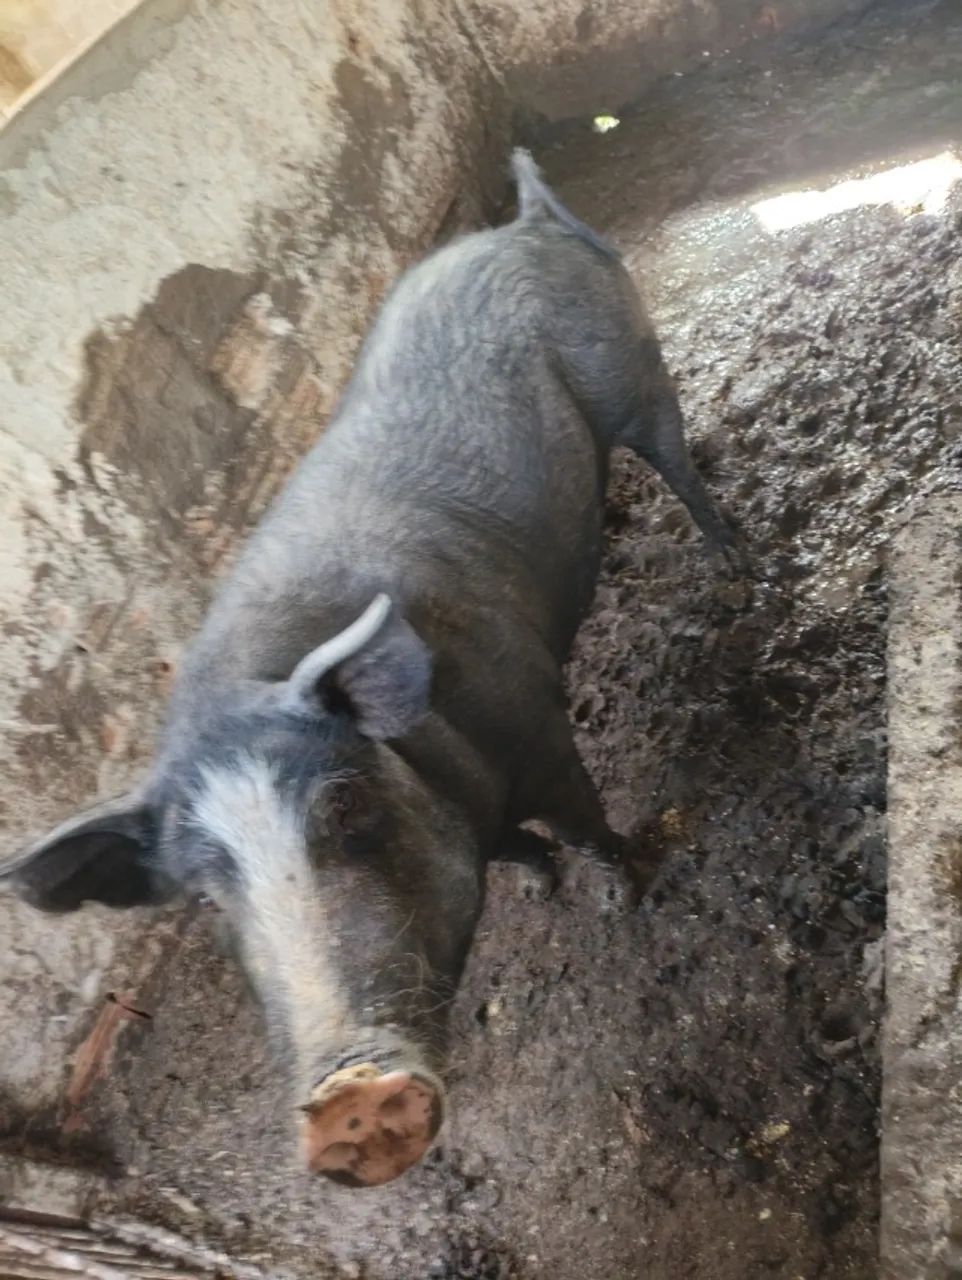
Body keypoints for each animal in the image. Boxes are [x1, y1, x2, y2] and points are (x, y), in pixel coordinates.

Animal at [1, 150, 741, 1187]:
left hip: (633, 369)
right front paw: (540, 888)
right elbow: (517, 850)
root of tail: (522, 225)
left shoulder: (540, 727)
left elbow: (587, 822)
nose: (343, 1095)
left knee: (676, 456)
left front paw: (618, 896)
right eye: (208, 893)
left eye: (344, 807)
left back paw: (735, 562)